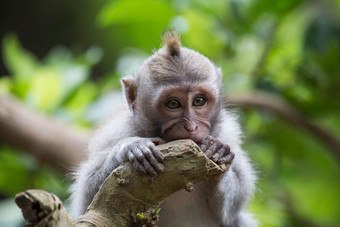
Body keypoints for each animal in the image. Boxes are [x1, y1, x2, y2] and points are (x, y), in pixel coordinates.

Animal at [69, 31, 256, 227]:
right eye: (173, 103)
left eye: (199, 101)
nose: (191, 127)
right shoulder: (116, 132)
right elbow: (89, 204)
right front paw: (131, 148)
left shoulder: (227, 133)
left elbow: (234, 205)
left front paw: (217, 152)